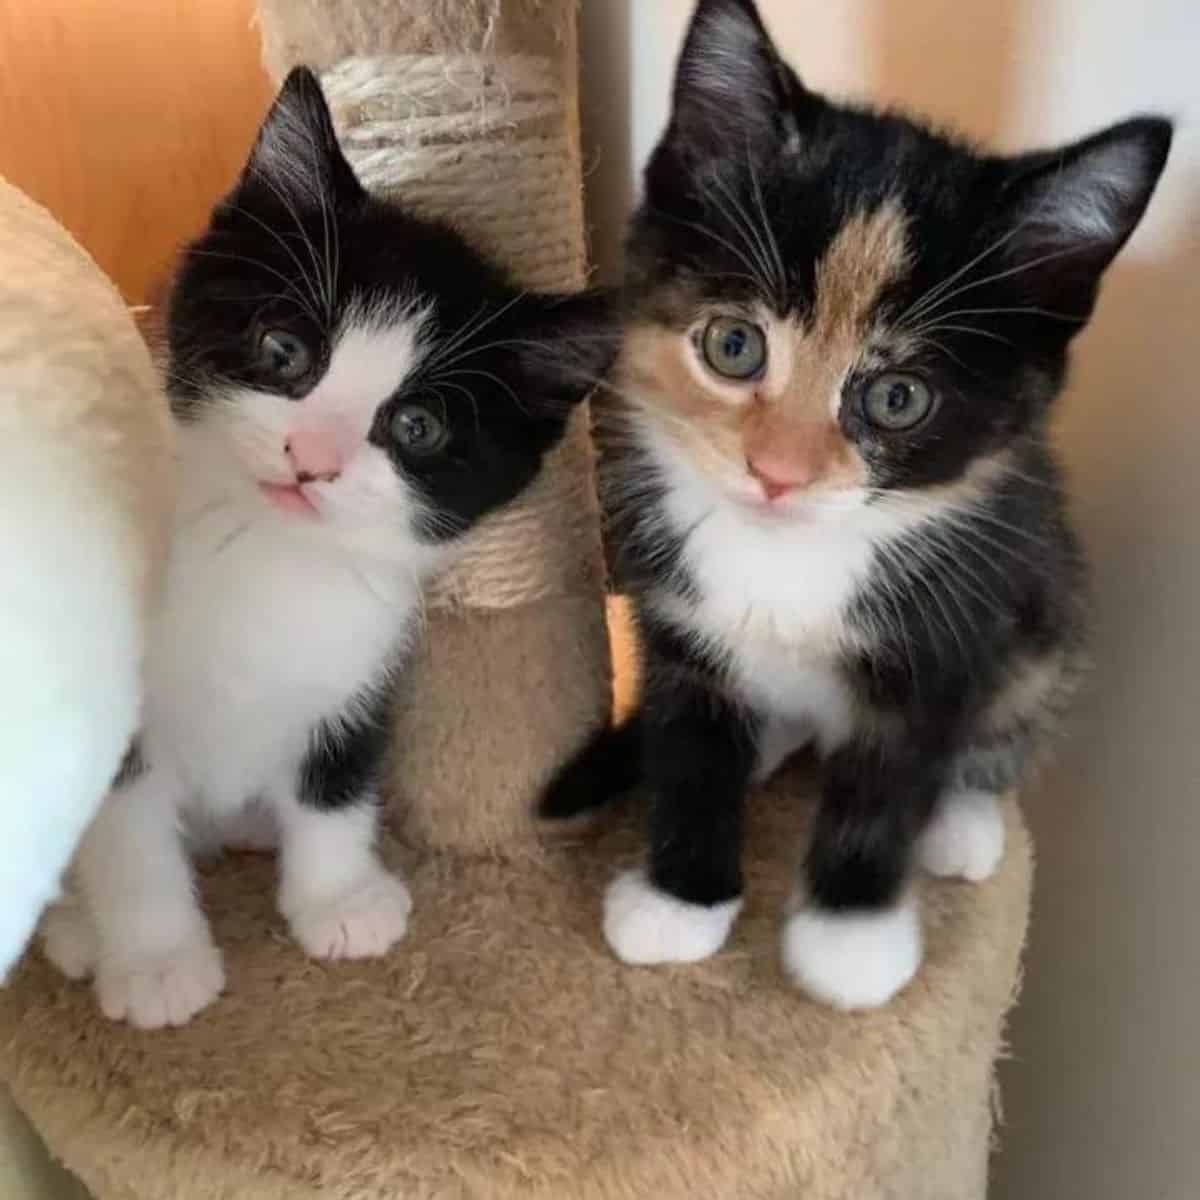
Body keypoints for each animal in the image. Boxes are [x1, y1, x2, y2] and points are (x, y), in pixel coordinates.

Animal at [42, 65, 614, 1027]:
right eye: (283, 350)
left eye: (417, 427)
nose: (310, 459)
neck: (269, 559)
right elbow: (128, 830)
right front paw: (156, 960)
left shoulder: (362, 663)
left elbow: (337, 777)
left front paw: (338, 901)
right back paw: (77, 930)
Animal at [544, 0, 1171, 1008]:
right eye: (732, 346)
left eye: (898, 398)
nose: (778, 472)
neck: (790, 555)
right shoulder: (672, 614)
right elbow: (689, 749)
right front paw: (681, 898)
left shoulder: (954, 627)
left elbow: (888, 786)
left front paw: (850, 940)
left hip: (1050, 593)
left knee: (1014, 710)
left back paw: (963, 823)